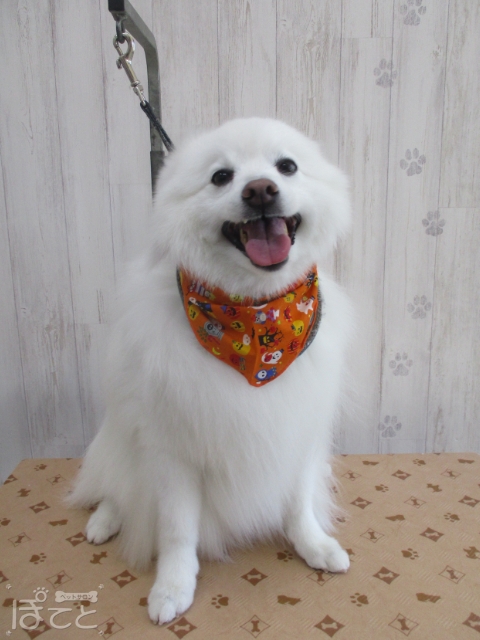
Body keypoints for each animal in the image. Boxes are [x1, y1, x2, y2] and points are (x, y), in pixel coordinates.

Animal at [69, 117, 352, 624]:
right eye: (221, 176)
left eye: (287, 166)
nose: (260, 190)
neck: (253, 316)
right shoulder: (172, 448)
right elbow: (177, 529)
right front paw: (172, 585)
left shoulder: (298, 428)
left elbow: (298, 501)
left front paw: (313, 544)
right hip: (119, 439)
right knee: (115, 484)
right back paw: (105, 518)